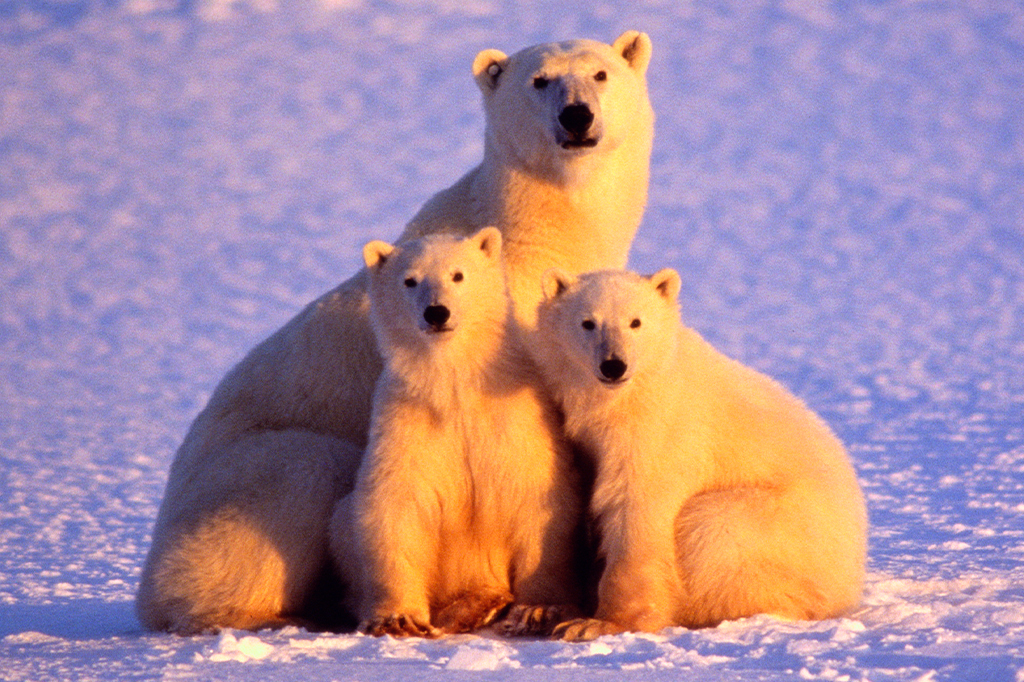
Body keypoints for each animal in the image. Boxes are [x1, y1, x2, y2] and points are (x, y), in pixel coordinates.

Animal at [329, 228, 583, 638]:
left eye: (458, 275)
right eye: (410, 280)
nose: (437, 312)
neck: (456, 389)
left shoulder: (517, 422)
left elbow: (539, 499)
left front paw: (538, 609)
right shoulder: (407, 424)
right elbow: (395, 504)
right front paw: (397, 619)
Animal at [530, 268, 868, 640]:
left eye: (636, 321)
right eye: (588, 322)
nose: (613, 366)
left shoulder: (660, 430)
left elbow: (636, 507)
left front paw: (596, 623)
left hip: (777, 526)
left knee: (709, 527)